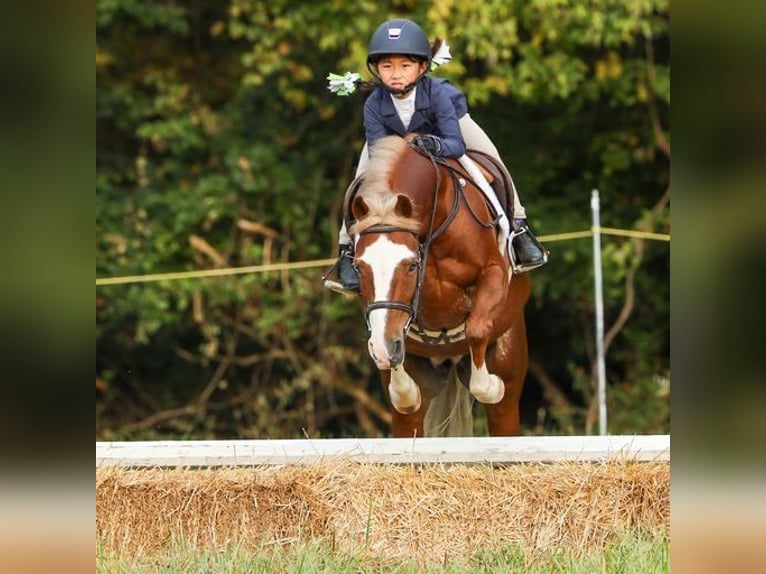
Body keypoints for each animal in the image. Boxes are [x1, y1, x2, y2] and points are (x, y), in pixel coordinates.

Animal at [352, 137, 532, 438]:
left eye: (411, 266)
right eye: (358, 267)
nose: (383, 350)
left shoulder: (493, 273)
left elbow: (476, 329)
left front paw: (491, 385)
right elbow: (401, 379)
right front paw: (403, 389)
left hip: (508, 366)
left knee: (503, 408)